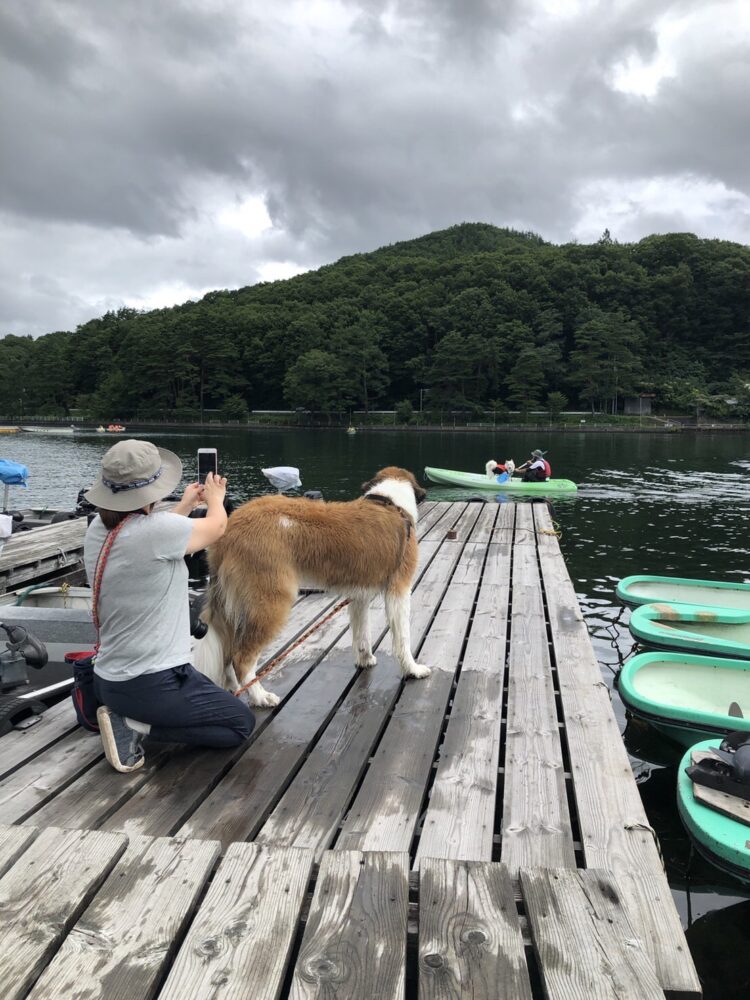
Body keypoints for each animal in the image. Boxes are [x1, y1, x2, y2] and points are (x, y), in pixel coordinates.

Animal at [191, 466, 432, 708]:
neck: (389, 502)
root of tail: (231, 525)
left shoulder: (359, 595)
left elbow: (362, 632)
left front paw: (365, 659)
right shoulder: (399, 591)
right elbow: (402, 638)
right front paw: (413, 669)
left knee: (227, 655)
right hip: (272, 603)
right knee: (241, 658)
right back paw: (260, 696)